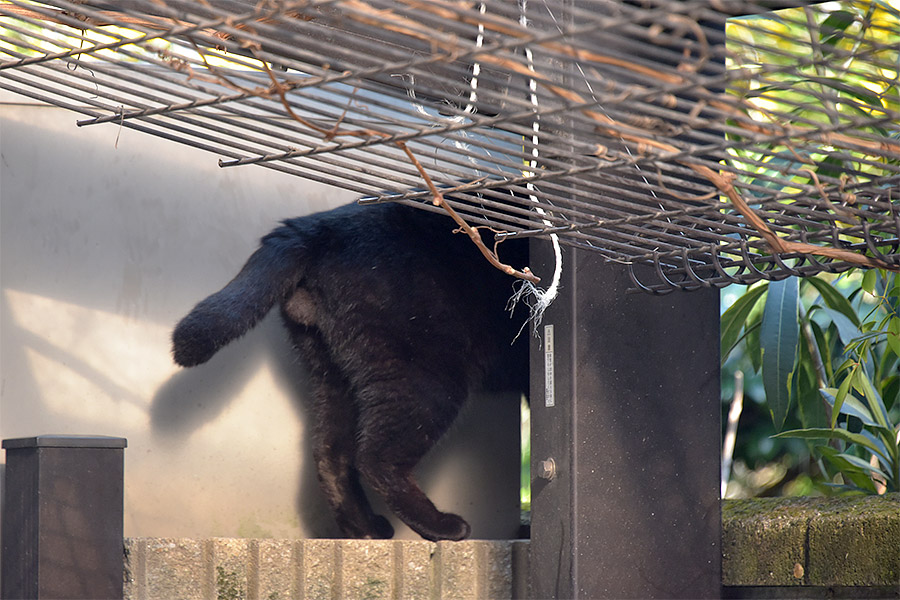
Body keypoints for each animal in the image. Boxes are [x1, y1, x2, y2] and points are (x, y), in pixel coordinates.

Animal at [171, 199, 528, 540]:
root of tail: (315, 225)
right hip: (428, 375)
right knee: (376, 457)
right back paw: (441, 526)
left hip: (334, 373)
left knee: (330, 453)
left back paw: (365, 528)